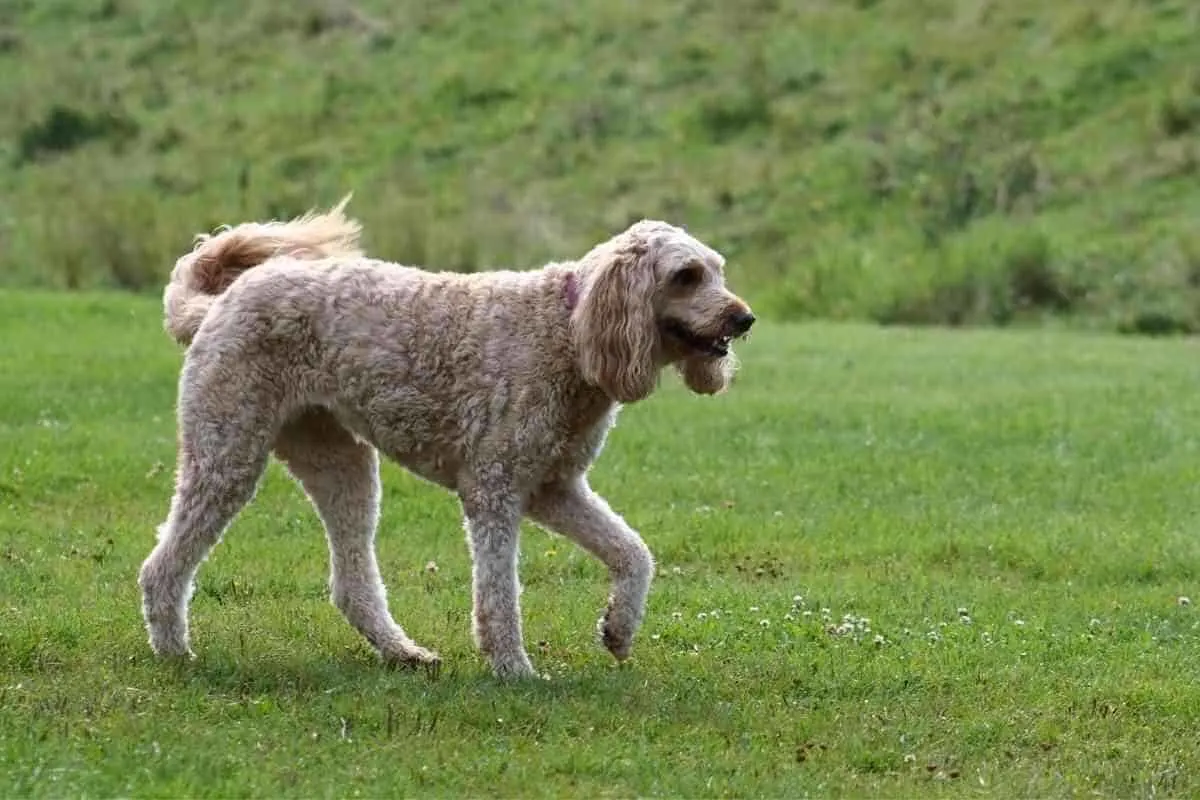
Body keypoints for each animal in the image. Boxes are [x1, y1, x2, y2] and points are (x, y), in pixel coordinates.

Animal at [136, 199, 753, 676]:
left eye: (719, 270)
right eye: (686, 275)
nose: (745, 319)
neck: (569, 330)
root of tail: (220, 301)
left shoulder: (554, 488)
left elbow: (634, 554)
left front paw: (618, 630)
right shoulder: (495, 490)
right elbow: (499, 595)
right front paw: (513, 669)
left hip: (340, 465)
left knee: (351, 583)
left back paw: (402, 653)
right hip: (227, 453)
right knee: (162, 566)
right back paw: (173, 651)